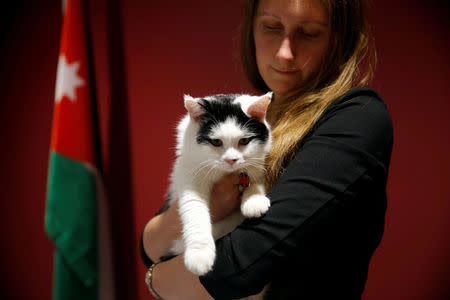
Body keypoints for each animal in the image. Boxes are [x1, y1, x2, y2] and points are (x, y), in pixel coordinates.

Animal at [164, 92, 270, 276]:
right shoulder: (190, 175)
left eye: (244, 141)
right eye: (216, 142)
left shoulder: (257, 162)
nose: (231, 160)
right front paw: (199, 255)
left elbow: (254, 177)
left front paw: (254, 200)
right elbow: (195, 211)